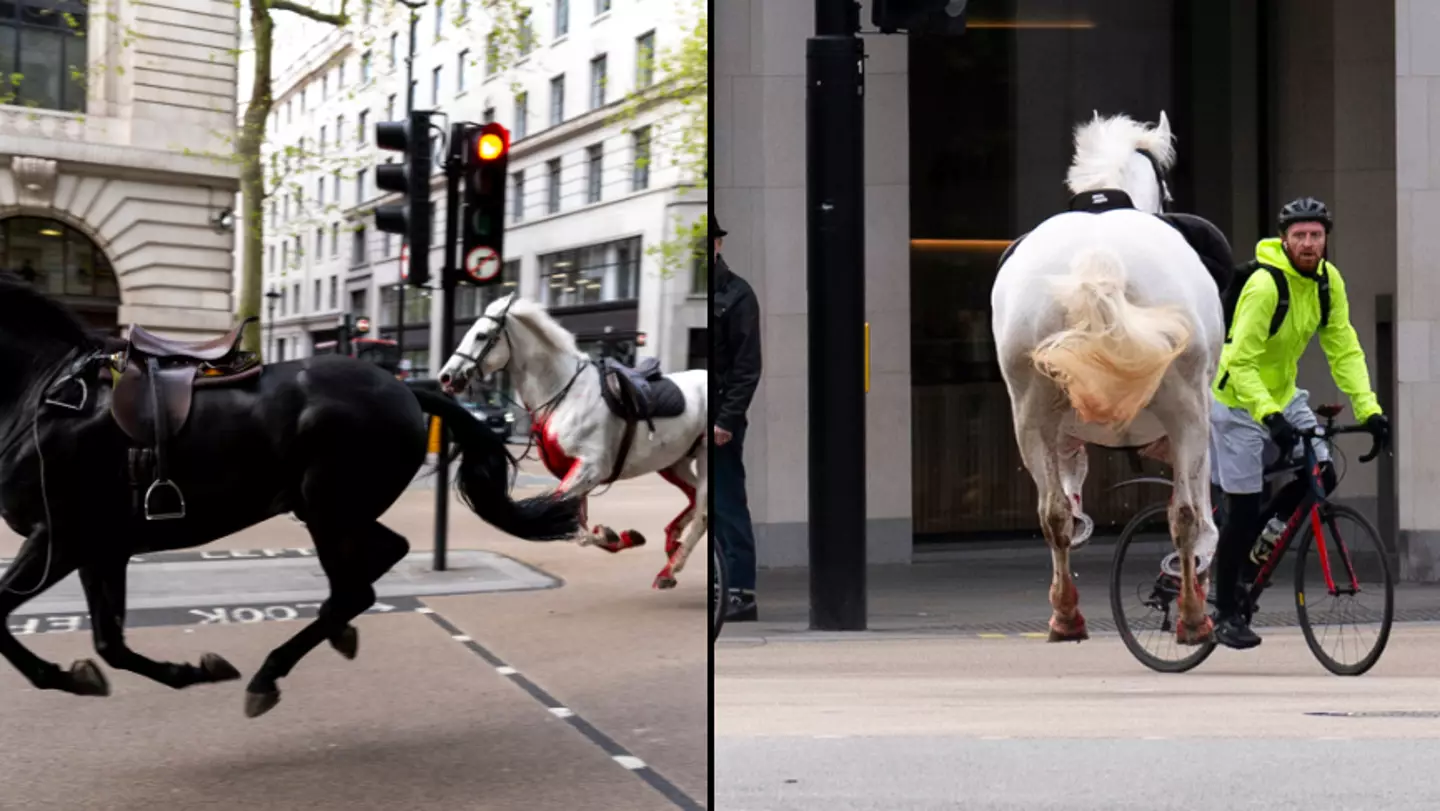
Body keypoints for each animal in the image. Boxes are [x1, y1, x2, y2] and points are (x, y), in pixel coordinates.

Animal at [1, 272, 584, 717]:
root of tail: (402, 386)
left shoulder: (60, 537)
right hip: (331, 508)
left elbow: (3, 616)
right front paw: (176, 671)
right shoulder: (98, 546)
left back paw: (271, 673)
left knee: (356, 589)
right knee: (378, 560)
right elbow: (110, 642)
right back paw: (333, 631)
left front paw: (68, 676)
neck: (48, 395)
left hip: (329, 506)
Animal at [437, 292, 708, 590]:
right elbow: (577, 526)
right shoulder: (576, 473)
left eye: (481, 335)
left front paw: (613, 535)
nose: (446, 377)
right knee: (694, 499)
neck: (565, 394)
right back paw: (672, 544)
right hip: (673, 462)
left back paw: (670, 569)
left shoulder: (589, 469)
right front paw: (619, 536)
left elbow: (569, 524)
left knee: (703, 514)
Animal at [996, 112, 1221, 648]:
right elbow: (1201, 511)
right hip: (1187, 410)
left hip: (1031, 413)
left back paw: (1066, 615)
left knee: (1053, 513)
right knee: (1184, 513)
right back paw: (1192, 616)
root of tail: (1098, 259)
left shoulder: (1063, 430)